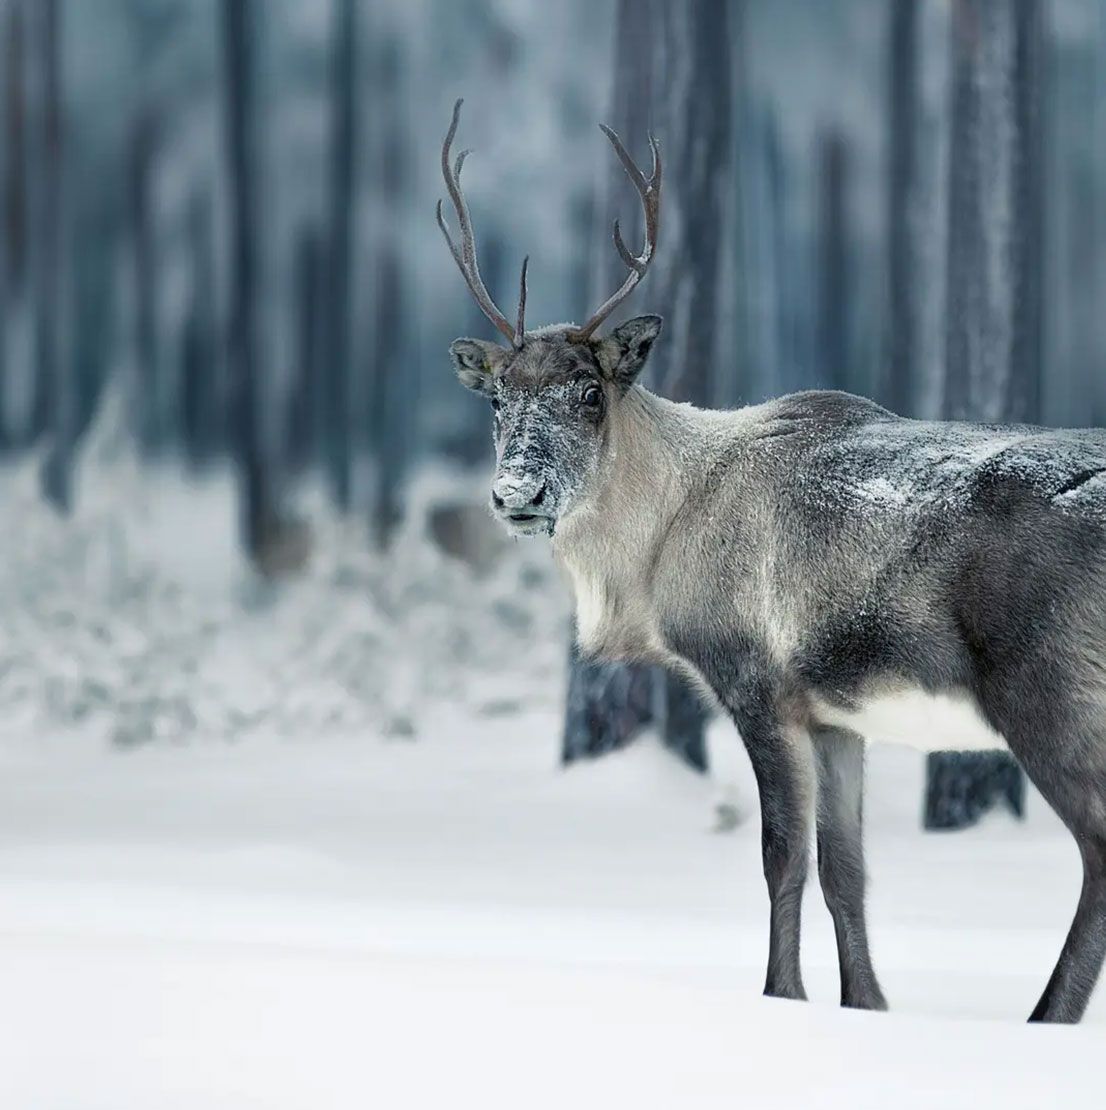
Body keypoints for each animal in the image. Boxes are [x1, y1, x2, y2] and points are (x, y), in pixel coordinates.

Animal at [437, 99, 1106, 1024]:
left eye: (590, 391)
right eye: (498, 400)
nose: (516, 493)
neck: (656, 555)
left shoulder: (757, 680)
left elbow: (781, 858)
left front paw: (780, 995)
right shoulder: (837, 716)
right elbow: (847, 871)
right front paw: (867, 1005)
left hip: (1049, 684)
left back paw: (1047, 1019)